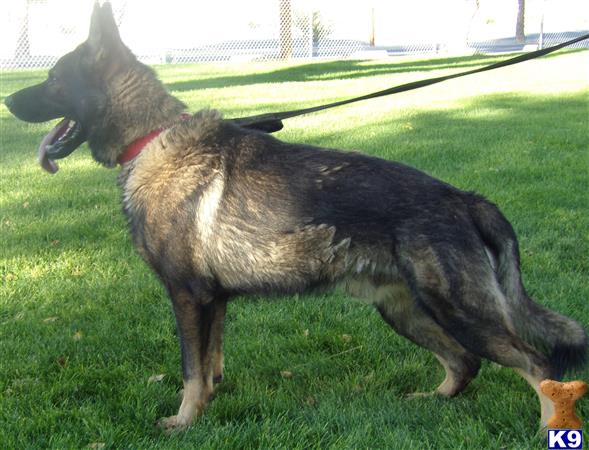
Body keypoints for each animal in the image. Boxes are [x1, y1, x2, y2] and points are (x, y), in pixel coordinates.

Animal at [3, 2, 584, 432]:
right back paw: (430, 400)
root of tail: (463, 197)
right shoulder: (214, 302)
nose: (8, 100)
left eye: (52, 79)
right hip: (404, 311)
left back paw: (546, 427)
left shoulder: (188, 297)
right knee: (466, 364)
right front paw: (208, 410)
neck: (150, 140)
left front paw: (182, 423)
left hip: (458, 311)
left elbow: (190, 370)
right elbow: (209, 369)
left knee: (537, 365)